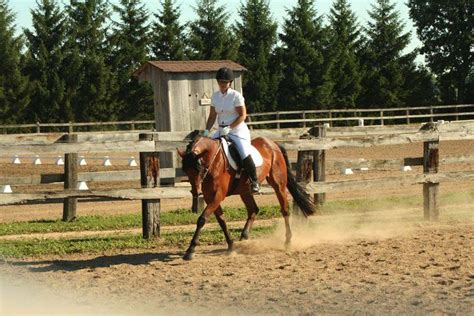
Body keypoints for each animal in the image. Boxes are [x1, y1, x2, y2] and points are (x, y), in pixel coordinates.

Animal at [178, 131, 314, 260]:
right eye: (185, 169)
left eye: (198, 167)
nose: (196, 192)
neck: (214, 160)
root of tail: (273, 144)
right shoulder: (210, 197)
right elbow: (222, 221)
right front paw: (231, 245)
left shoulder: (218, 196)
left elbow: (202, 219)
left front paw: (190, 250)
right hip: (245, 191)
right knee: (253, 209)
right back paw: (243, 239)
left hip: (278, 185)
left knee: (284, 209)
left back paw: (288, 241)